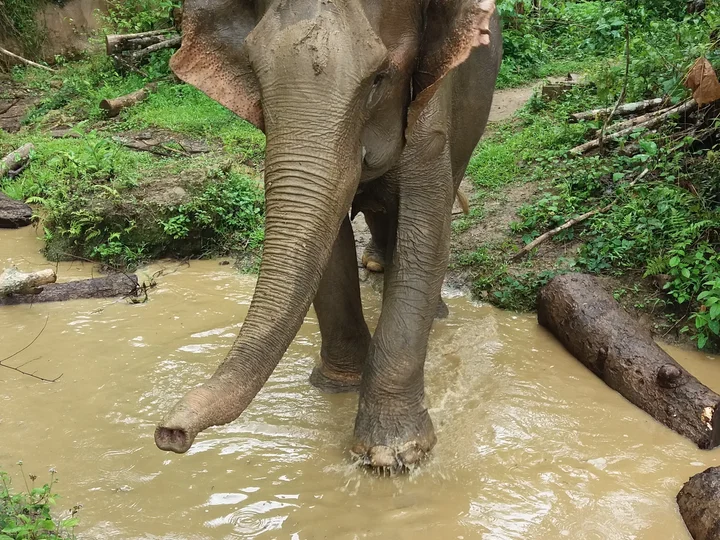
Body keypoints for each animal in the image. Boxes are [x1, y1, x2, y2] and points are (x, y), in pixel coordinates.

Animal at [155, 0, 502, 471]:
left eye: (379, 78)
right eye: (254, 74)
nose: (170, 433)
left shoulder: (433, 107)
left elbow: (425, 235)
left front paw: (392, 455)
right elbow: (331, 242)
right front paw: (338, 387)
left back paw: (435, 311)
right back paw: (376, 264)